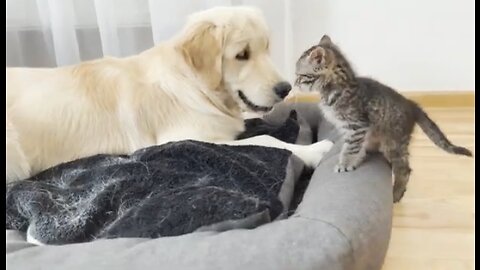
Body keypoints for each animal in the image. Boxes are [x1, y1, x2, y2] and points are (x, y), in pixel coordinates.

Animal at [294, 34, 470, 202]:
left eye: (300, 76)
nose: (295, 84)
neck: (339, 86)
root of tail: (411, 104)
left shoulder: (356, 126)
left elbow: (351, 148)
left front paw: (345, 164)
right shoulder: (352, 130)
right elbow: (355, 146)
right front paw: (356, 158)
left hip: (393, 142)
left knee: (405, 169)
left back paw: (396, 194)